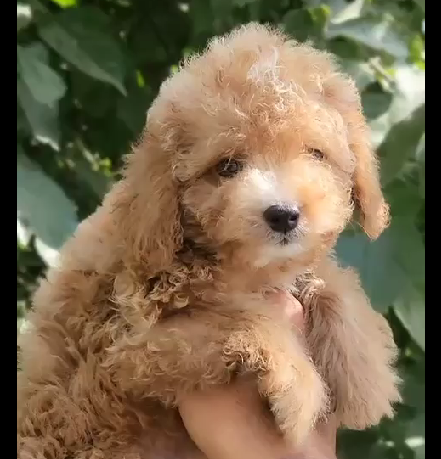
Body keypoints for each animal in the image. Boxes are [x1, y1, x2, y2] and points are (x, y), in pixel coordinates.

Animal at [17, 23, 400, 459]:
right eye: (227, 167)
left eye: (315, 154)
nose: (284, 214)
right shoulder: (130, 345)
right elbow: (242, 316)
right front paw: (298, 389)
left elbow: (332, 283)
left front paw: (366, 377)